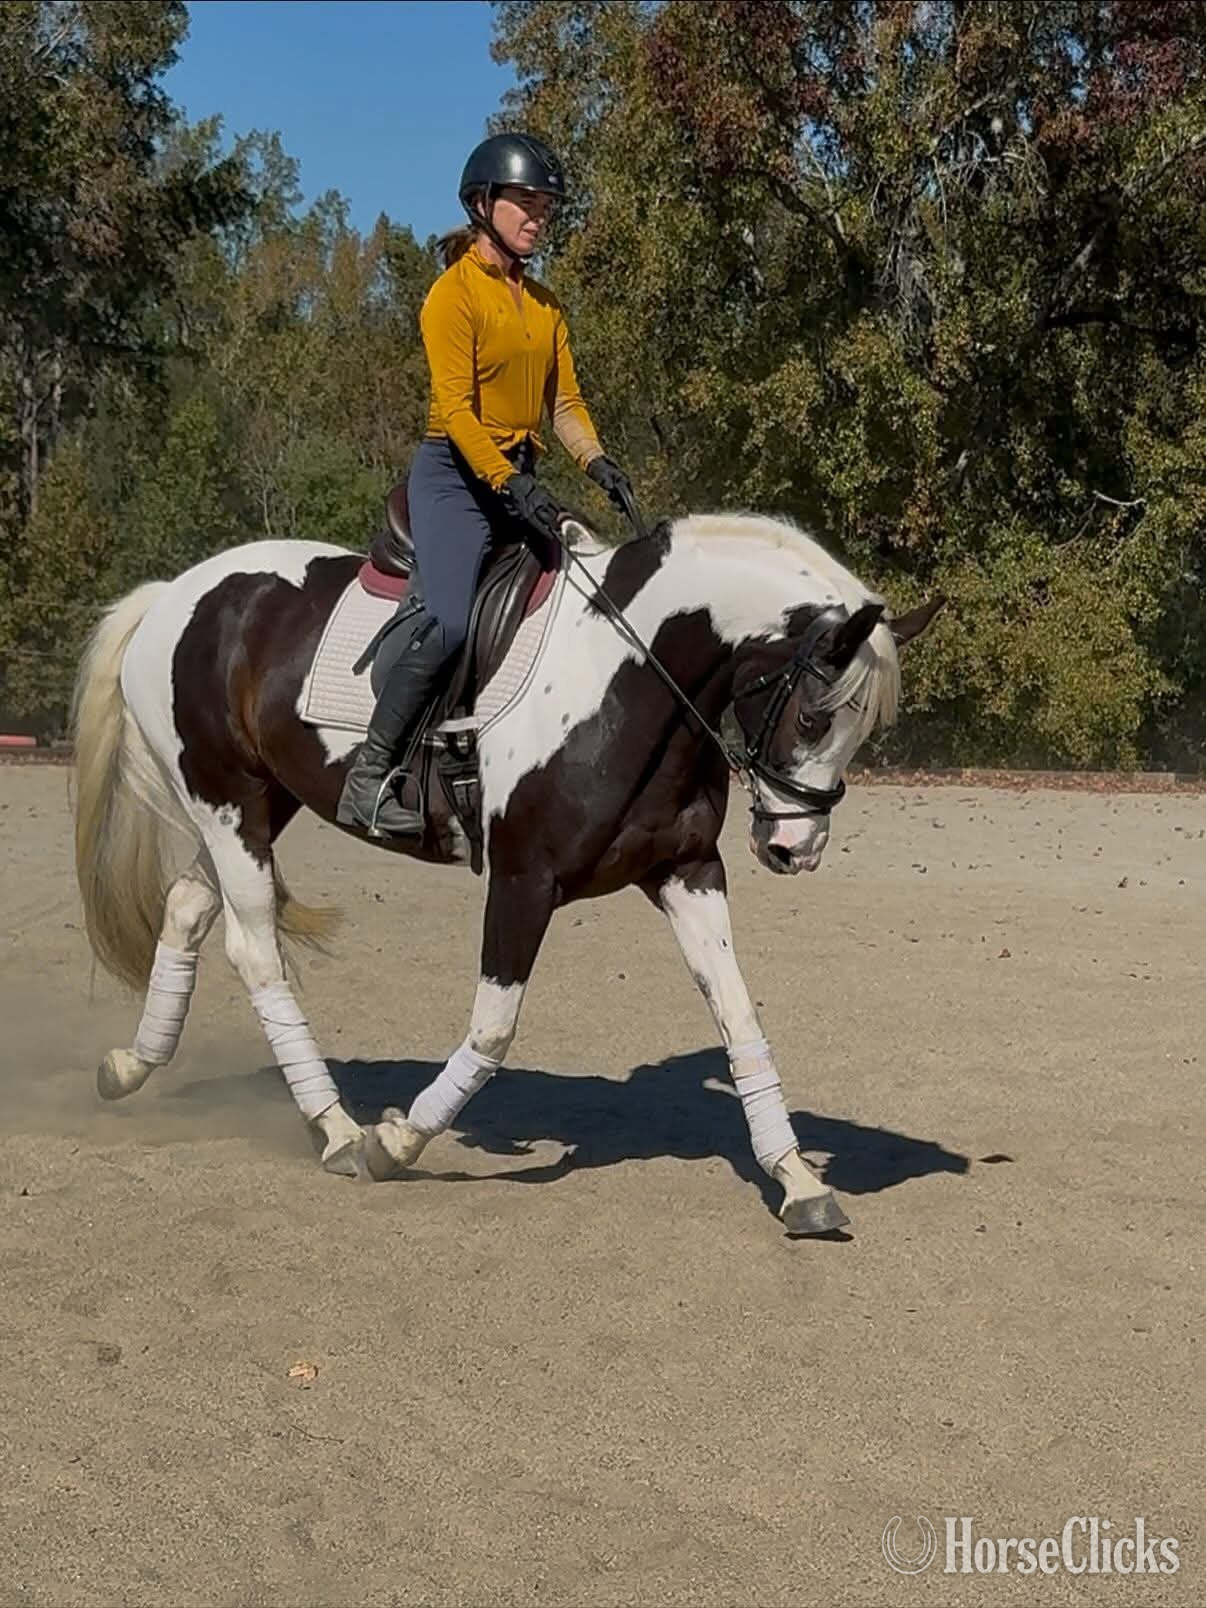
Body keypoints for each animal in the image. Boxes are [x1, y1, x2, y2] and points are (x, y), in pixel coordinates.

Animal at [68, 504, 941, 1235]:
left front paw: (797, 1180)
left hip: (257, 804)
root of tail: (176, 593)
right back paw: (338, 1129)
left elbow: (740, 1018)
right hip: (228, 802)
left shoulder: (687, 871)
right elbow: (492, 1030)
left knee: (187, 905)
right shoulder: (525, 882)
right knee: (254, 948)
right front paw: (396, 1144)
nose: (796, 849)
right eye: (818, 716)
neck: (628, 677)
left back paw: (131, 1067)